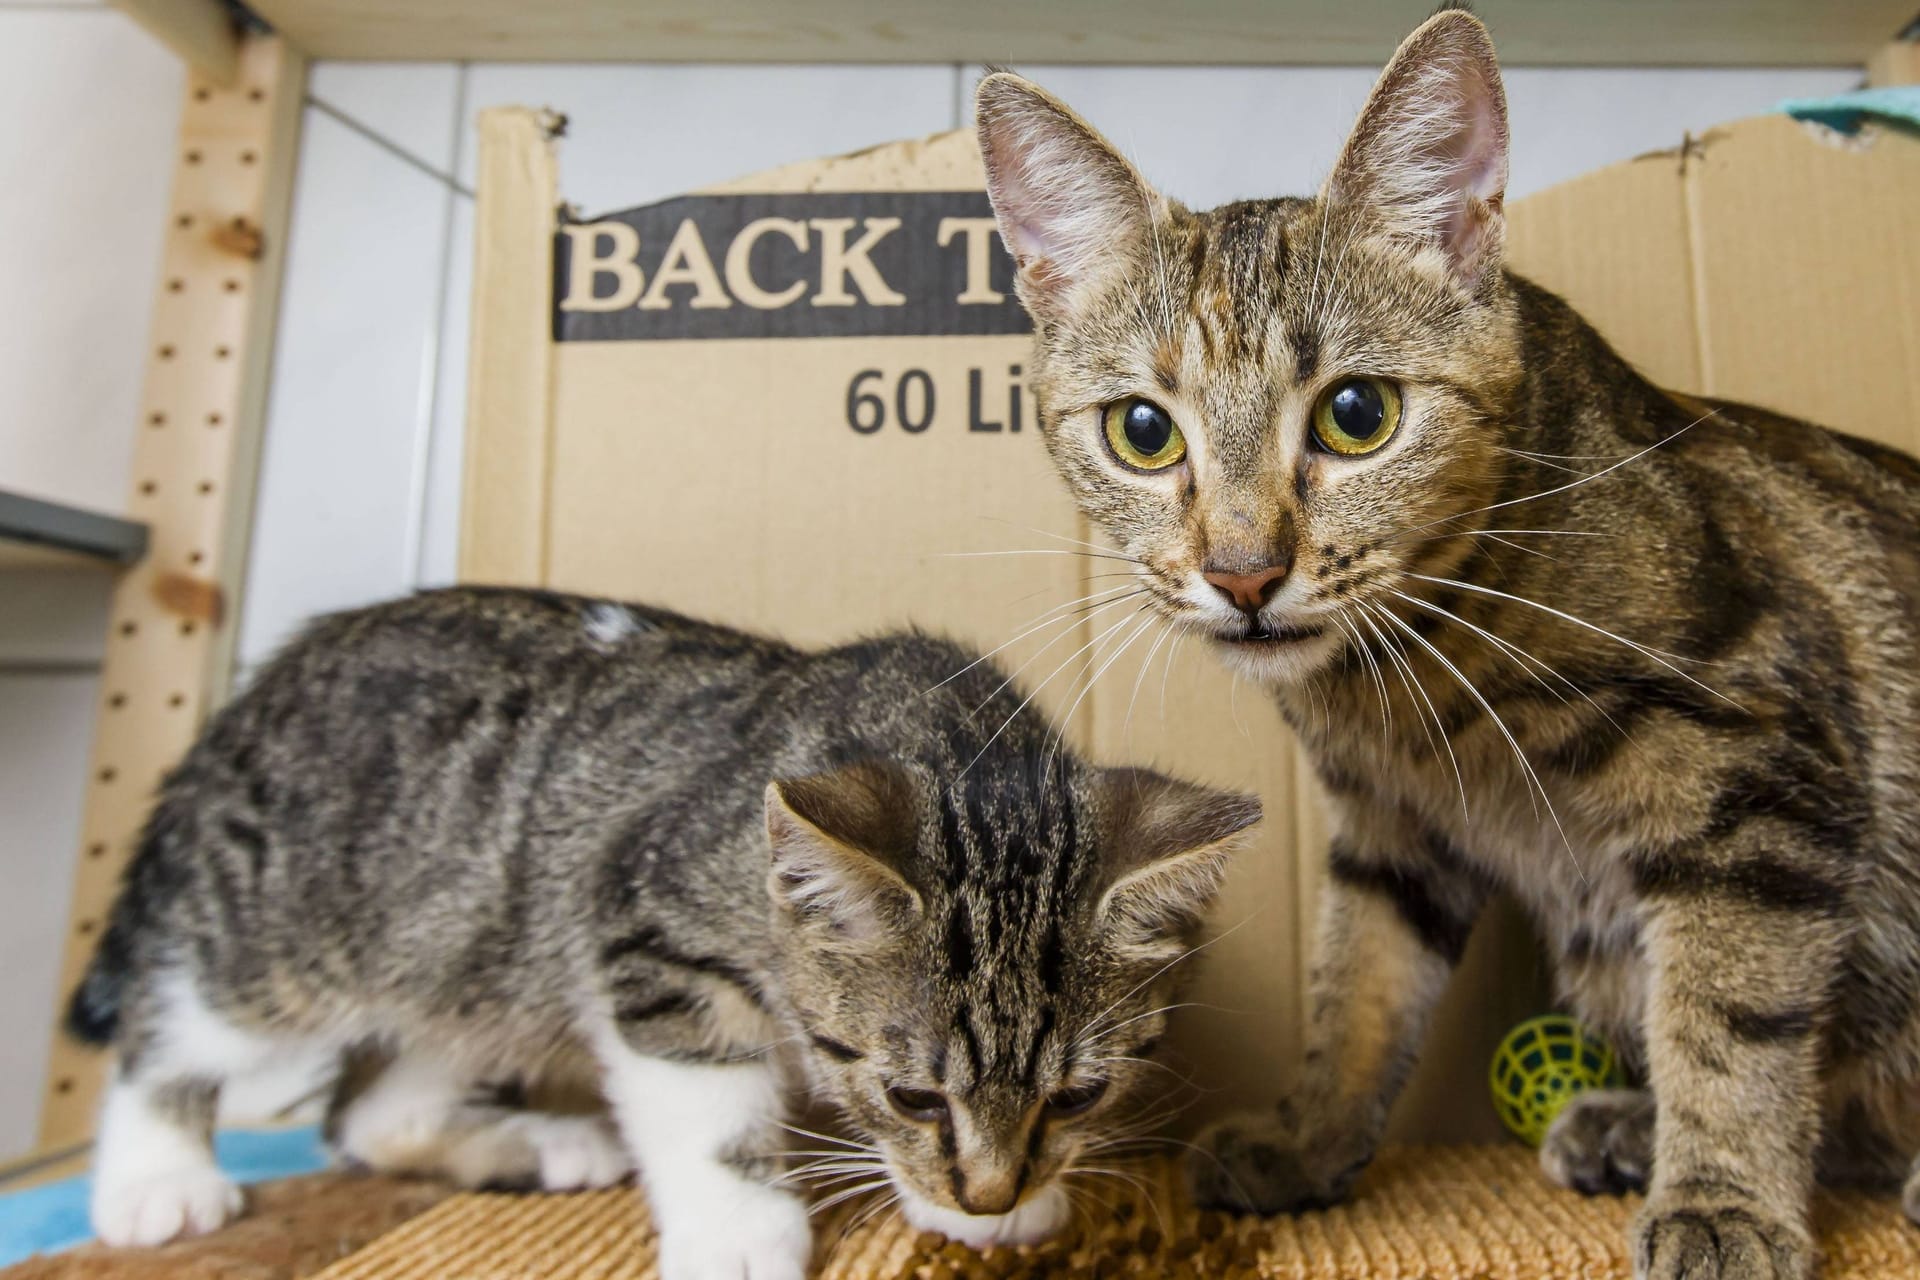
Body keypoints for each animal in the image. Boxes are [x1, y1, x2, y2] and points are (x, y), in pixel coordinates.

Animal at [67, 587, 1259, 1274]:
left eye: (1079, 1096)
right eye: (914, 1094)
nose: (992, 1188)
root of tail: (252, 695)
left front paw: (991, 1207)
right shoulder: (648, 932)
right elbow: (708, 1106)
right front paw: (742, 1229)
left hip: (472, 963)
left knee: (366, 1111)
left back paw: (544, 1141)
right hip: (278, 942)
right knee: (172, 1030)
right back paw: (155, 1180)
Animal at [975, 10, 1920, 1280]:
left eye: (1356, 414)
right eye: (1140, 430)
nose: (1242, 572)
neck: (1410, 678)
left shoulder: (1756, 771)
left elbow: (1731, 1009)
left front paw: (1725, 1199)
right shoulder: (1388, 827)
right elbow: (1358, 985)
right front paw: (1308, 1135)